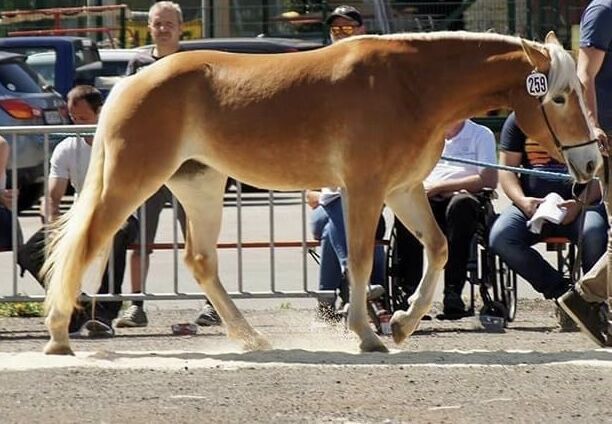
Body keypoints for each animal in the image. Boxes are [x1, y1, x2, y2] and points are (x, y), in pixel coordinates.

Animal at [41, 30, 604, 354]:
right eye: (559, 96)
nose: (591, 162)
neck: (411, 84)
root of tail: (131, 81)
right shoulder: (365, 189)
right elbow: (359, 258)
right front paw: (368, 333)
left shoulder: (402, 189)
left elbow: (439, 248)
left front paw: (402, 324)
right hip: (132, 180)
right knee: (87, 244)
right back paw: (59, 335)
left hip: (200, 184)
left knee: (200, 260)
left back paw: (251, 337)